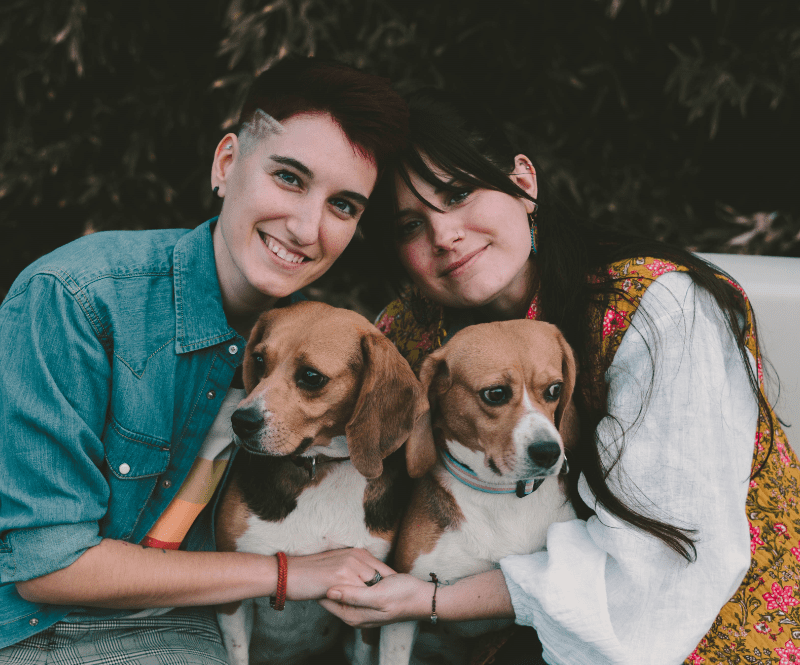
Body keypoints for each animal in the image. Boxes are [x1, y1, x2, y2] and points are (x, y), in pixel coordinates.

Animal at [211, 300, 424, 664]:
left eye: (311, 377)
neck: (317, 468)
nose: (240, 421)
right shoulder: (231, 602)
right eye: (259, 360)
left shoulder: (366, 615)